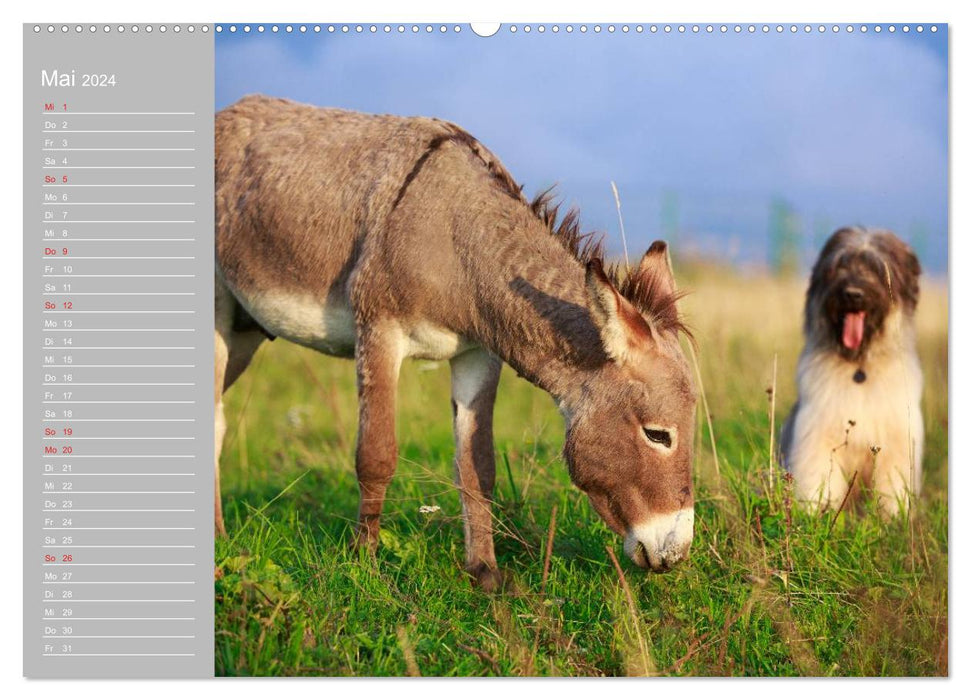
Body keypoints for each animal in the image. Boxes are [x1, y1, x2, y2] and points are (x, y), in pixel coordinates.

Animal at [784, 227, 928, 516]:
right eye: (840, 266)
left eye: (876, 269)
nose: (852, 294)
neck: (860, 367)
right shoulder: (817, 434)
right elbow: (817, 477)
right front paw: (814, 515)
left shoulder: (897, 441)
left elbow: (893, 486)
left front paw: (894, 519)